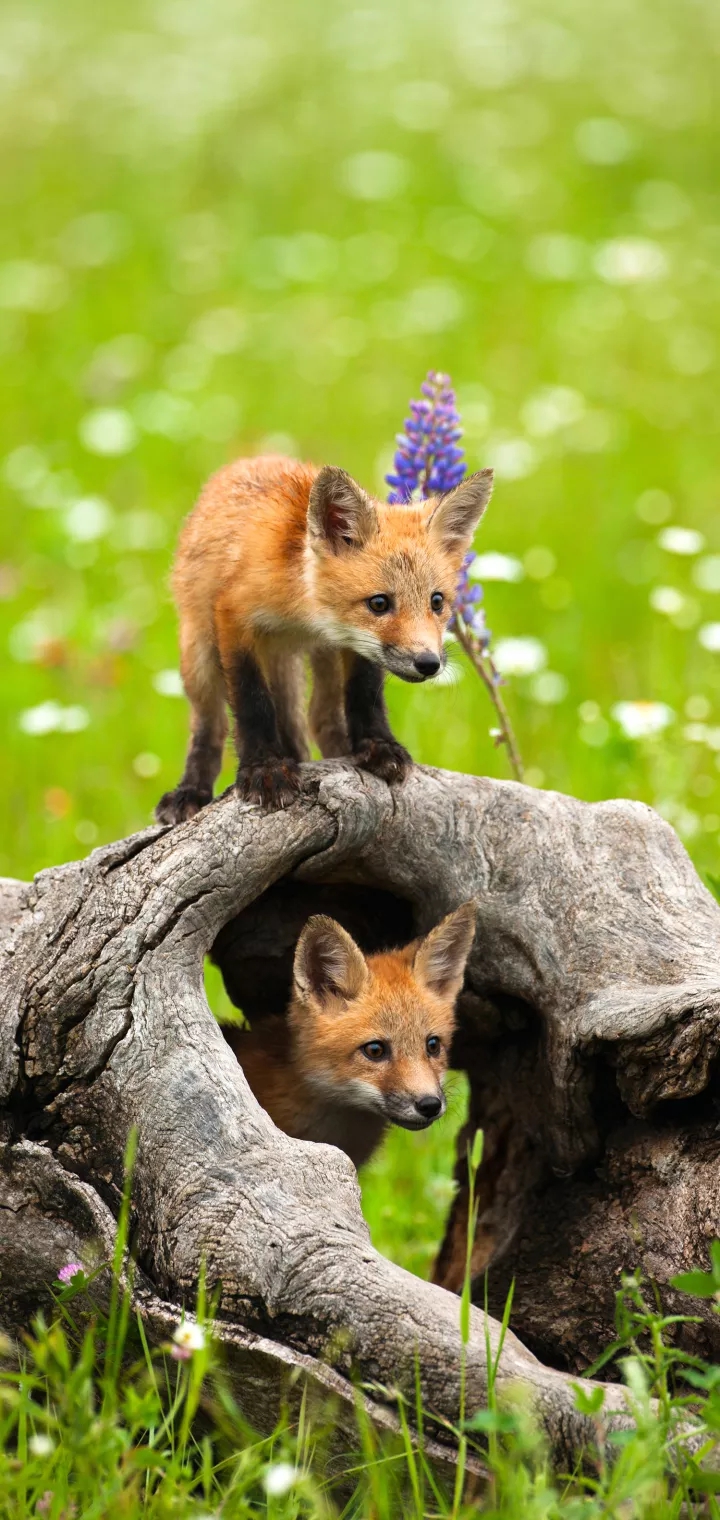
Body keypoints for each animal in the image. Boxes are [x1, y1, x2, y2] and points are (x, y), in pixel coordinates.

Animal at [156, 454, 493, 822]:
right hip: (199, 652)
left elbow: (364, 695)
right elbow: (253, 702)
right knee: (210, 725)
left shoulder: (355, 645)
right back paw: (190, 790)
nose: (428, 663)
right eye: (379, 603)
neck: (303, 611)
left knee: (321, 716)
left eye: (437, 602)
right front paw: (265, 768)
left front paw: (377, 746)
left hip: (322, 661)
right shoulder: (233, 617)